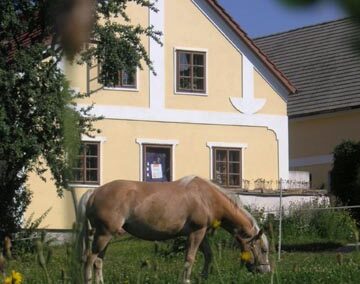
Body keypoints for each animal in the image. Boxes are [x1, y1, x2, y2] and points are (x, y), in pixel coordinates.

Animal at [78, 175, 270, 284]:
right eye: (263, 249)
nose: (266, 271)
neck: (206, 197)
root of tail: (93, 193)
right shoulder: (196, 232)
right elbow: (190, 259)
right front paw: (187, 280)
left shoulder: (201, 233)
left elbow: (208, 255)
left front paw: (203, 277)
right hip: (104, 234)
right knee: (89, 259)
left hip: (104, 236)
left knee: (98, 261)